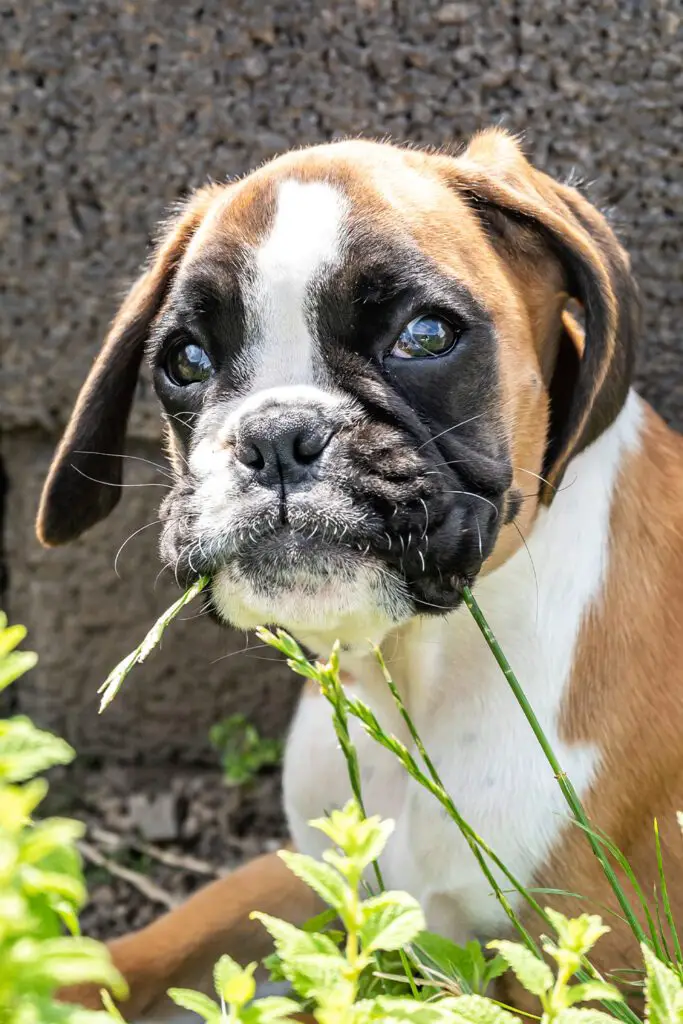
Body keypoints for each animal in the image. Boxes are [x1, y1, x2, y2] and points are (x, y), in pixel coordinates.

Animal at [36, 132, 683, 1019]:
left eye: (426, 336)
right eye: (186, 360)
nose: (276, 435)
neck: (416, 672)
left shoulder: (578, 971)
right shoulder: (317, 882)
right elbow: (143, 950)